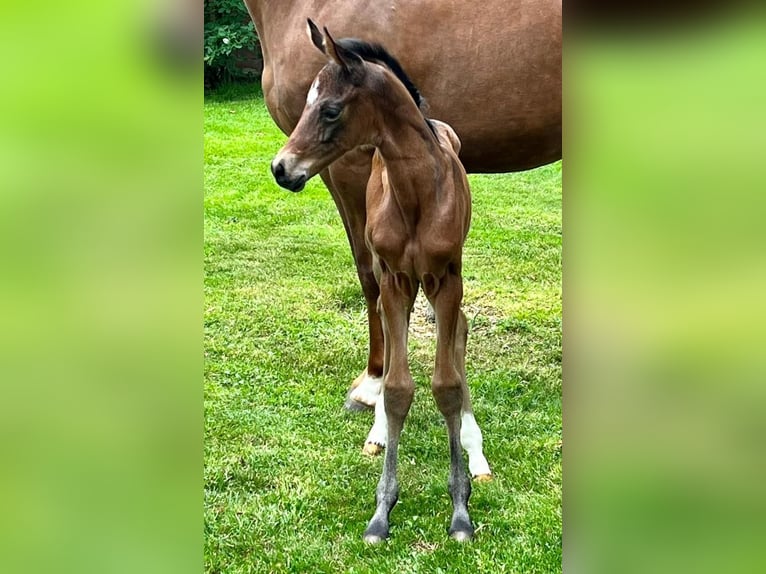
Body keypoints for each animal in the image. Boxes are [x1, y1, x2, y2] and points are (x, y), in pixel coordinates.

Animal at [272, 21, 496, 544]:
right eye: (306, 102)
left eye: (330, 108)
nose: (281, 168)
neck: (417, 191)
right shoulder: (395, 278)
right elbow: (397, 388)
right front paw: (382, 509)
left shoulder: (447, 279)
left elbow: (447, 383)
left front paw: (460, 508)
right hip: (393, 277)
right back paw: (376, 430)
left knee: (458, 332)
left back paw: (475, 450)